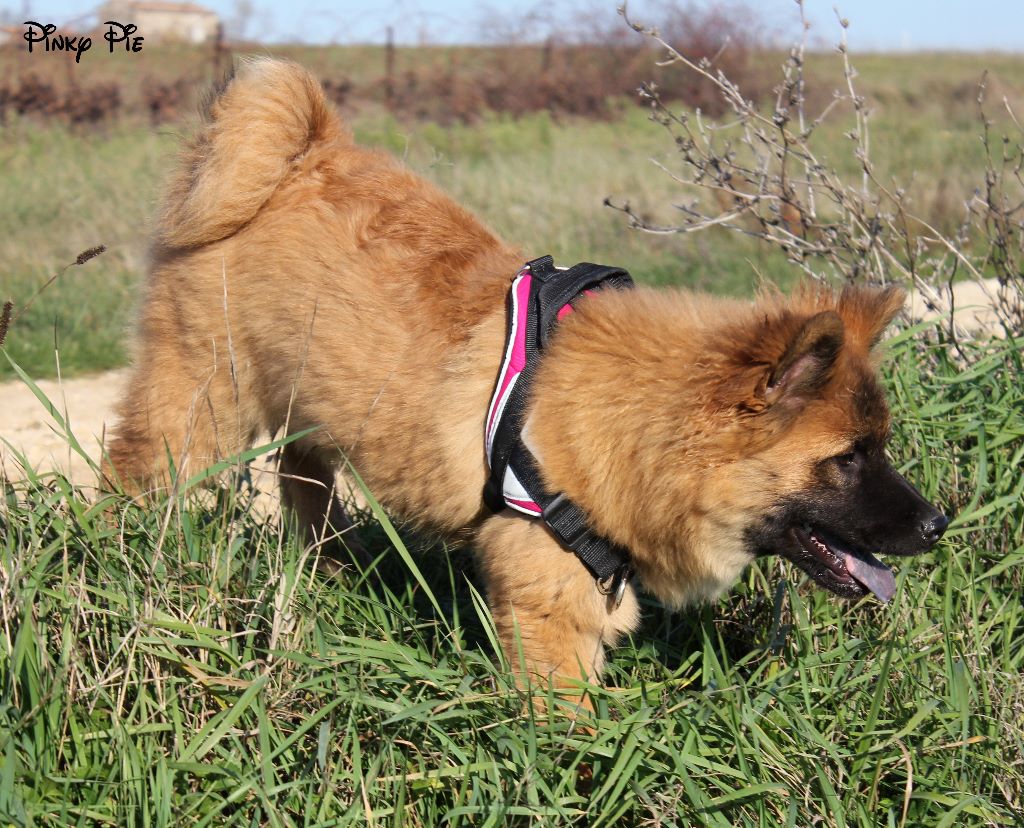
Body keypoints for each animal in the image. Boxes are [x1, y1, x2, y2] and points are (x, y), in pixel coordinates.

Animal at [103, 61, 942, 687]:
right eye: (847, 459)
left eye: (881, 446)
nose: (938, 523)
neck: (634, 414)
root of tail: (303, 153)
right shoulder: (551, 602)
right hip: (196, 404)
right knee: (135, 479)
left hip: (310, 414)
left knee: (302, 495)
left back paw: (319, 575)